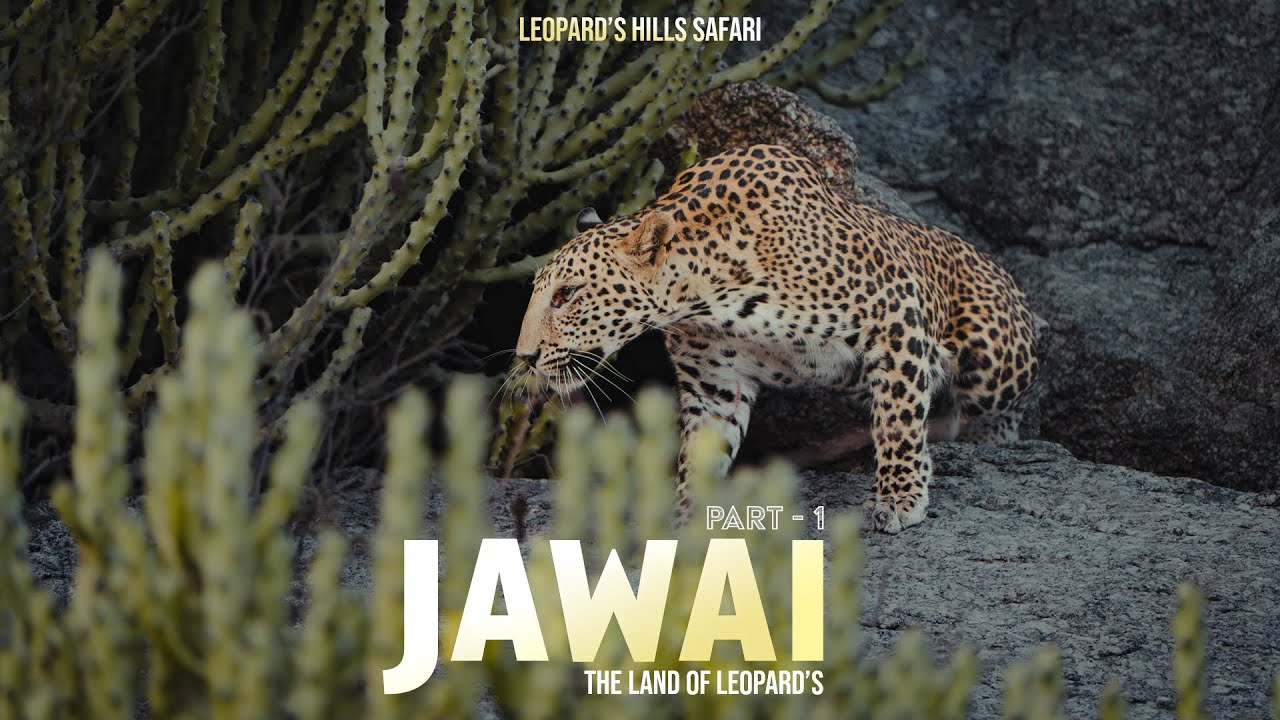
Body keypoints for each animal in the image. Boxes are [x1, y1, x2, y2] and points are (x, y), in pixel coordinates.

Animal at [515, 144, 1039, 533]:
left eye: (565, 294)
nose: (525, 356)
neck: (709, 295)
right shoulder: (715, 385)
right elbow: (698, 454)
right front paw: (685, 516)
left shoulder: (895, 313)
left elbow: (898, 419)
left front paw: (899, 496)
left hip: (993, 365)